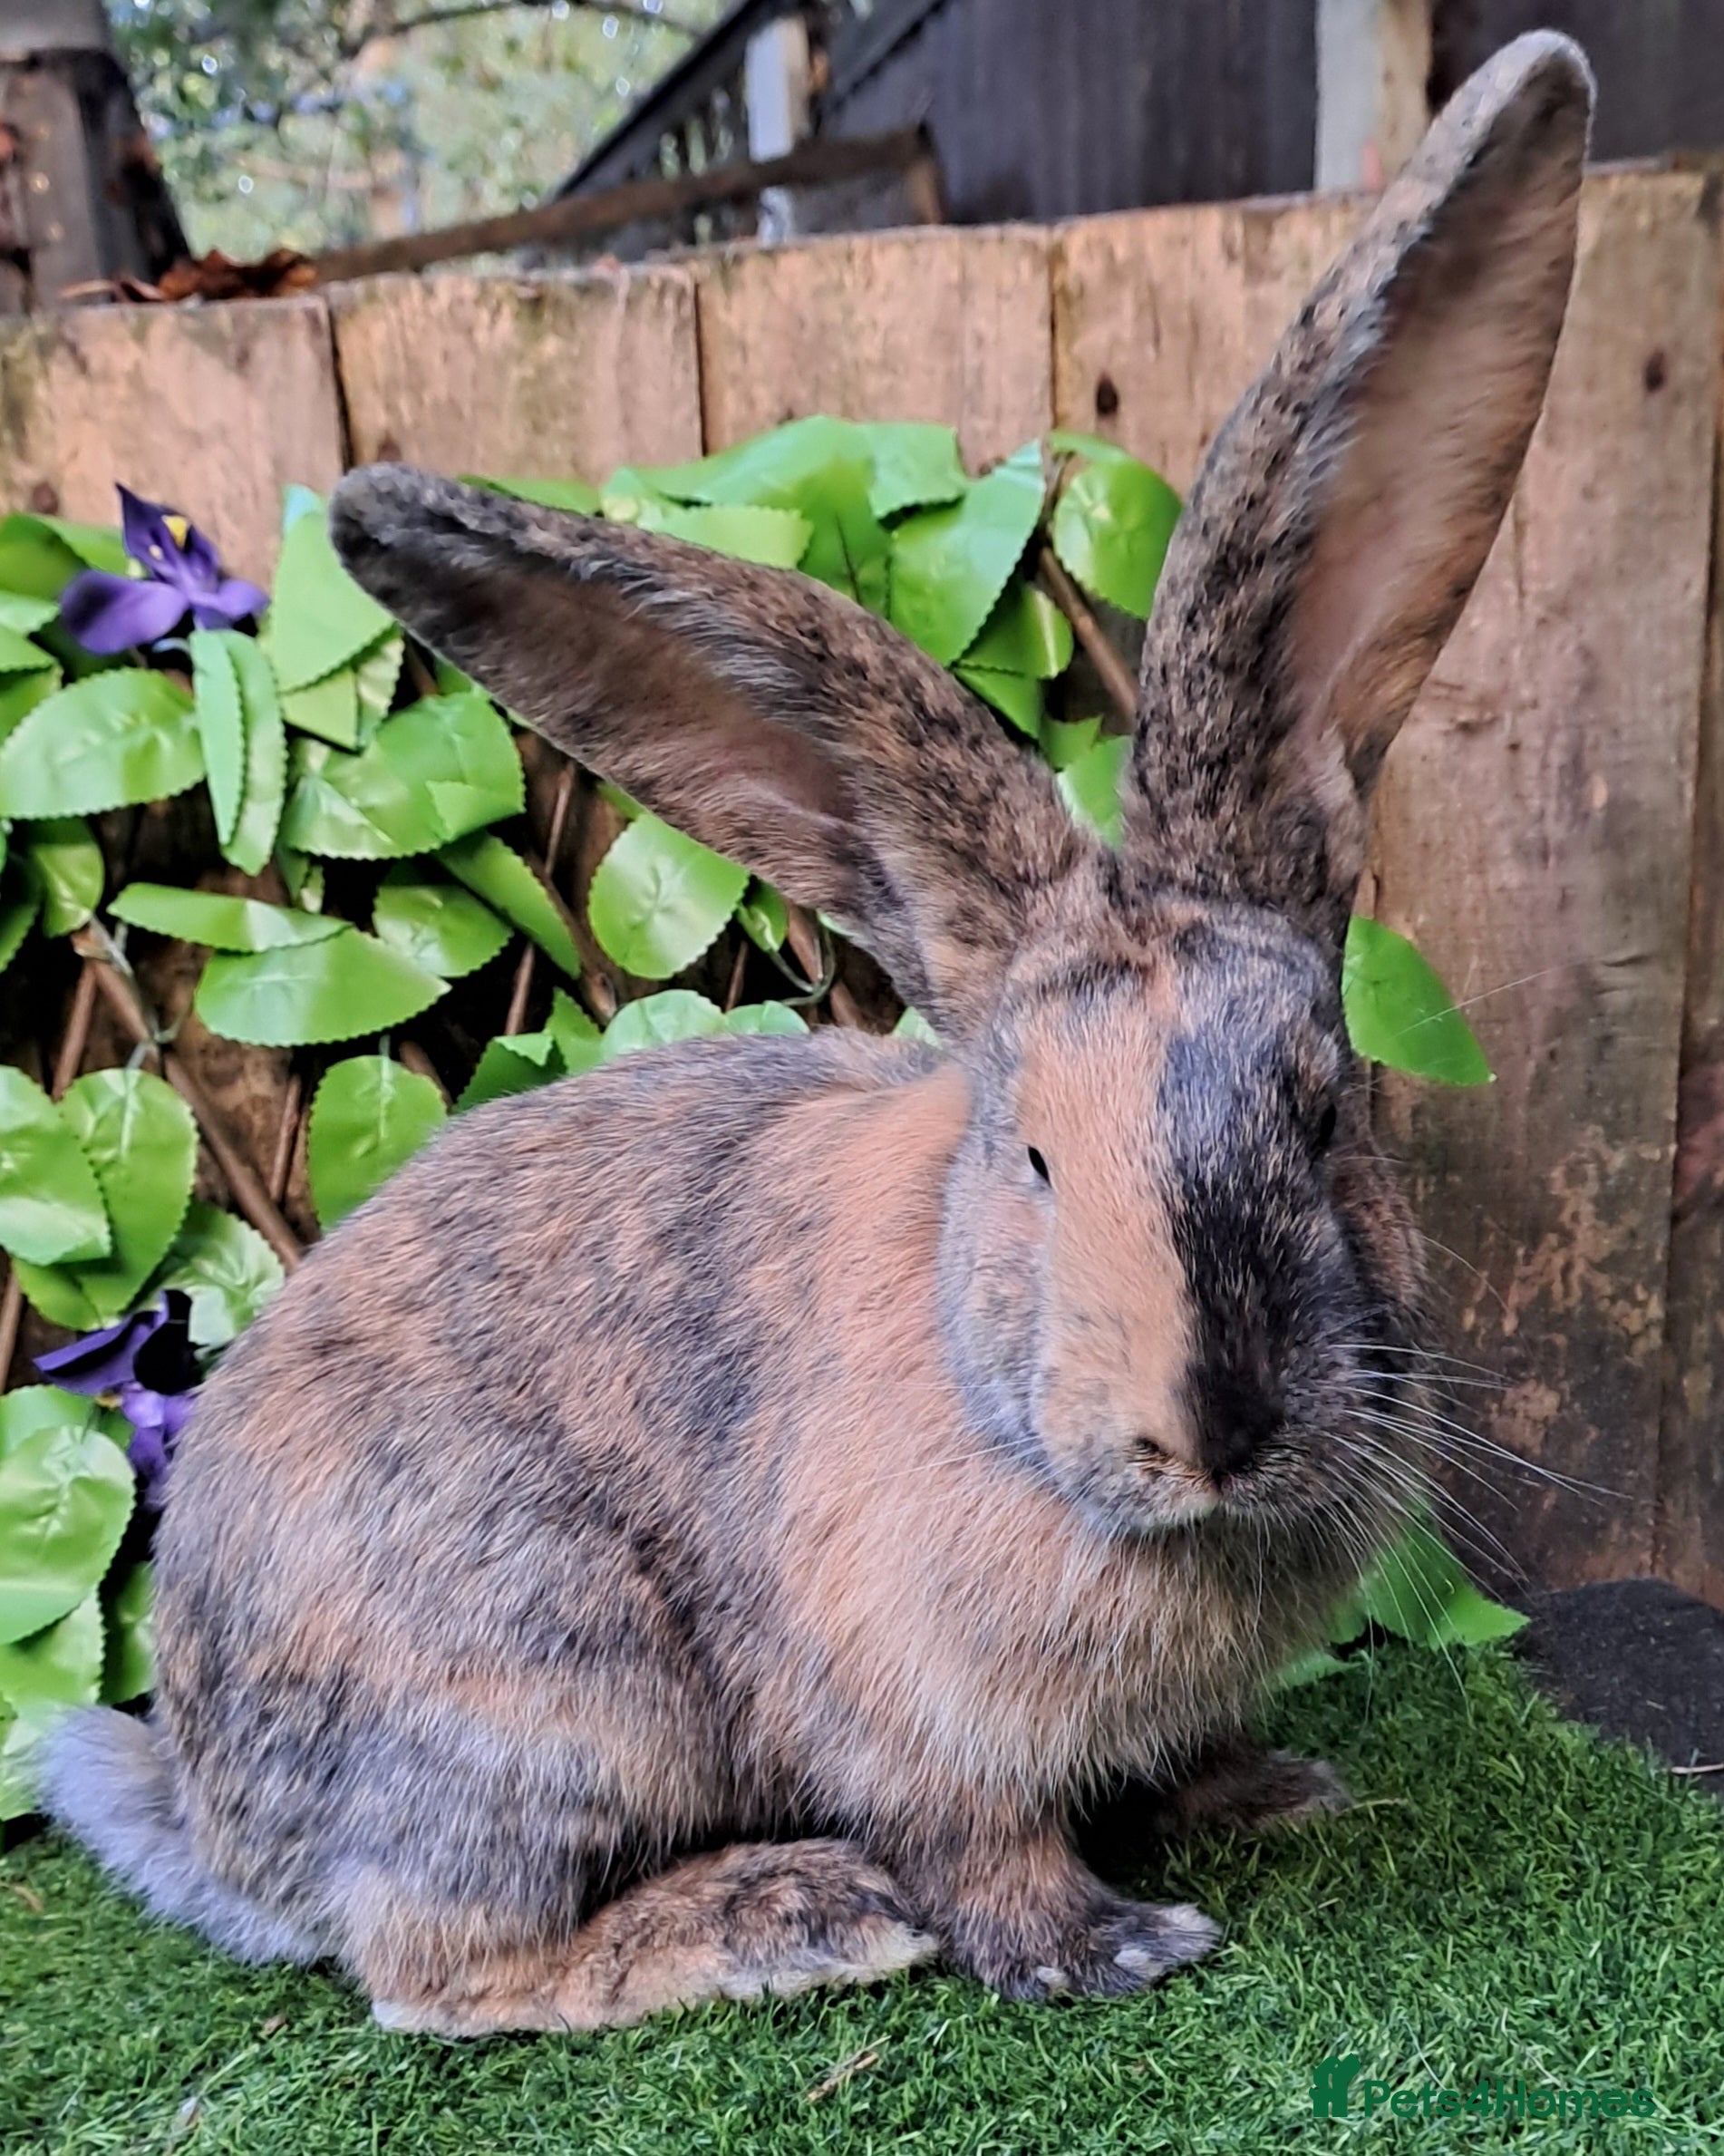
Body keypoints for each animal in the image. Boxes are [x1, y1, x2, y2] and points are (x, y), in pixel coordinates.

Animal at [43, 32, 1591, 2037]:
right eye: (1031, 1154)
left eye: (1324, 1112)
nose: (1211, 1424)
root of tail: (217, 1814)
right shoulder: (900, 1708)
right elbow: (976, 1843)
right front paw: (1104, 1944)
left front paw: (1267, 1790)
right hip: (545, 1695)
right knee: (442, 1974)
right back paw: (784, 1915)